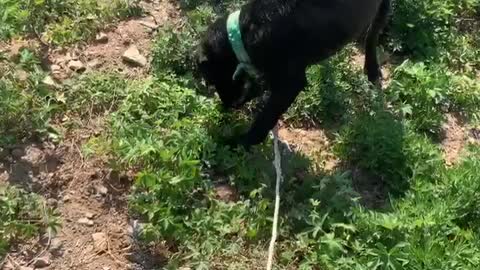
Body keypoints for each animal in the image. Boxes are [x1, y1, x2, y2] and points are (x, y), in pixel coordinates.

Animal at [197, 0, 392, 149]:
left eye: (212, 79)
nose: (225, 105)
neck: (247, 31)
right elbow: (256, 88)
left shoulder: (290, 83)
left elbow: (265, 119)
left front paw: (239, 143)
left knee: (373, 32)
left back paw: (372, 70)